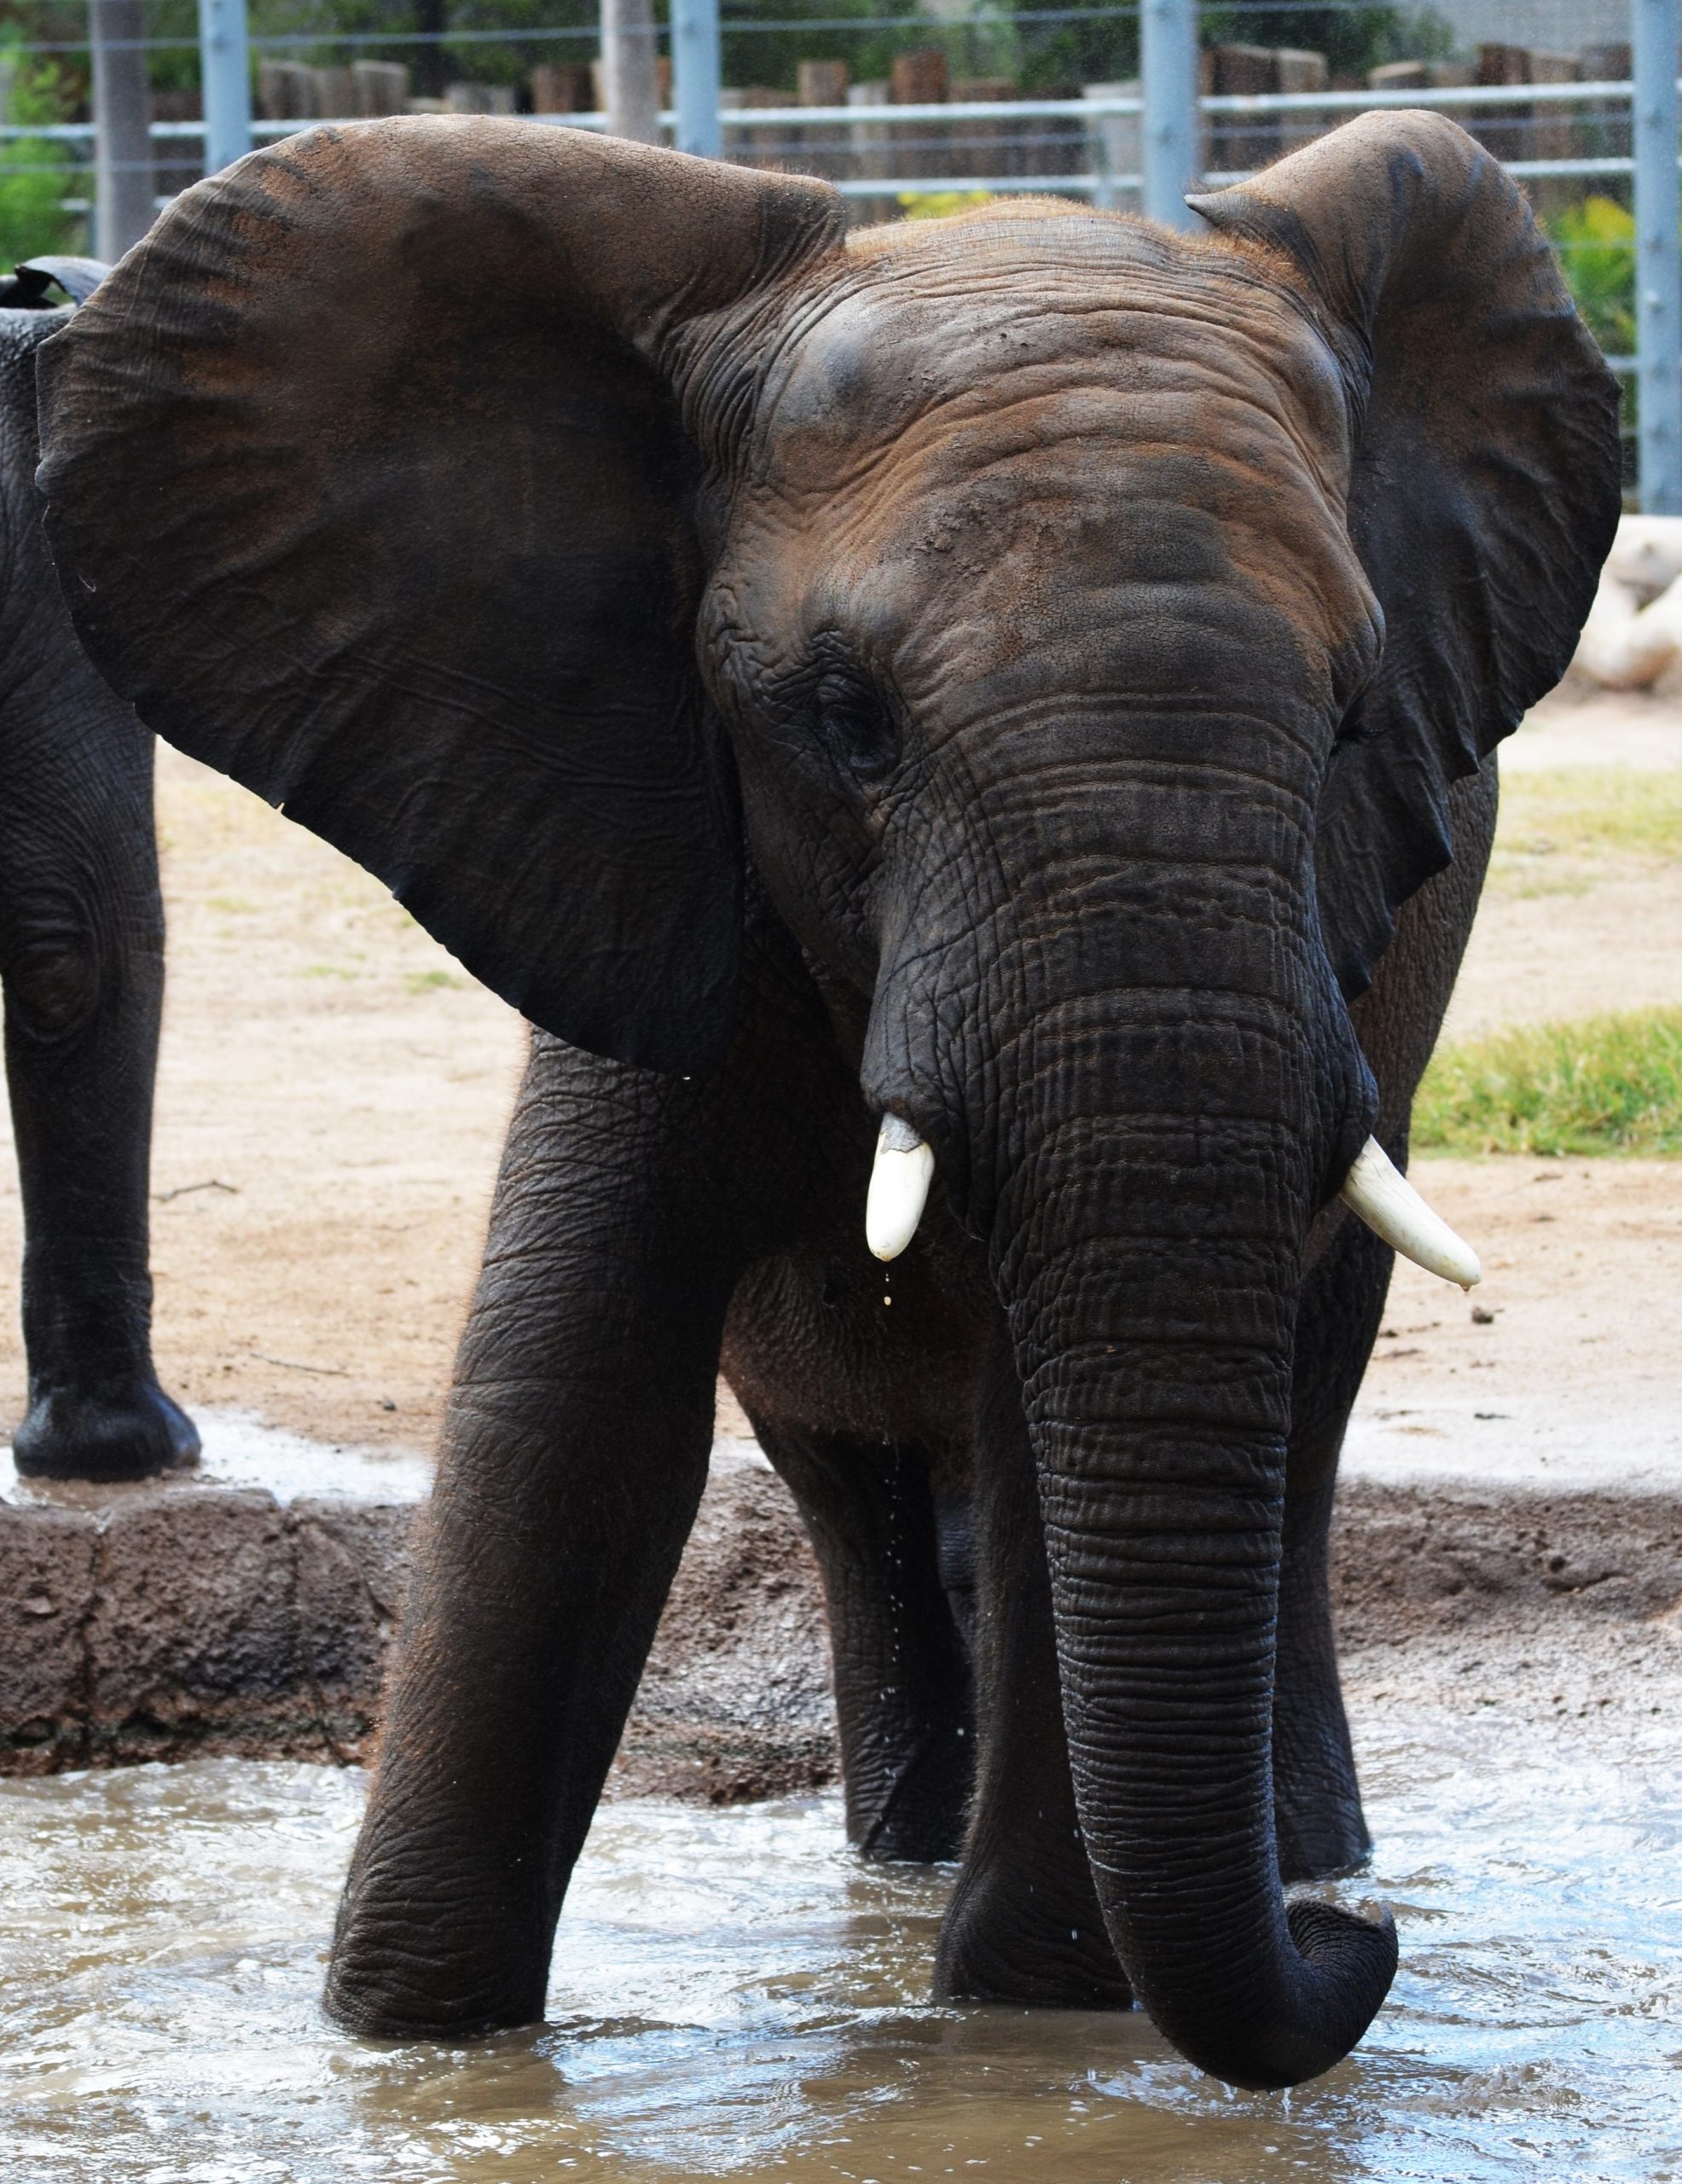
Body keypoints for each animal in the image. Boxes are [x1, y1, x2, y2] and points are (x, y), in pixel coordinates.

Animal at [34, 112, 1619, 2087]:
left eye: (1349, 722)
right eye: (846, 719)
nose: (1357, 1956)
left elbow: (1034, 1419)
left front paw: (1023, 2024)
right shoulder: (635, 806)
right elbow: (573, 1411)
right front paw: (410, 2052)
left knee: (1293, 1387)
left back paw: (1299, 1858)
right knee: (844, 1474)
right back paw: (947, 1859)